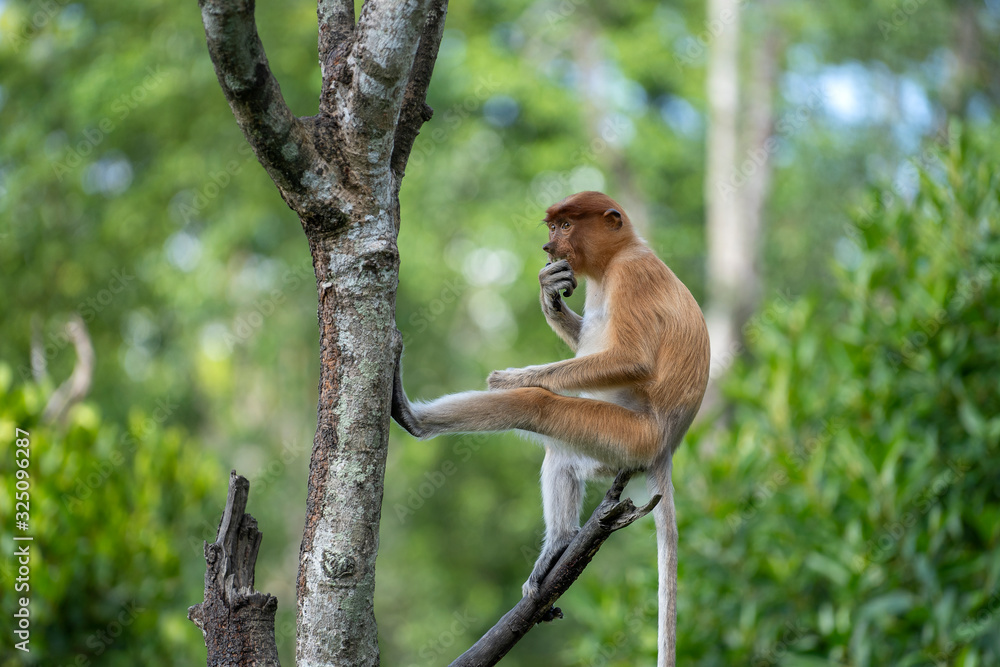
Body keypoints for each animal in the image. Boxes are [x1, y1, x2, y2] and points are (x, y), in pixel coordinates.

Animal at [391, 191, 710, 667]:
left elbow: (631, 358)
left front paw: (511, 378)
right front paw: (550, 293)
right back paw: (561, 543)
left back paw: (412, 418)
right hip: (610, 447)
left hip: (627, 434)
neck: (619, 255)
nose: (548, 247)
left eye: (565, 225)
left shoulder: (632, 275)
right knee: (560, 455)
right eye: (553, 226)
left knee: (538, 406)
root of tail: (666, 449)